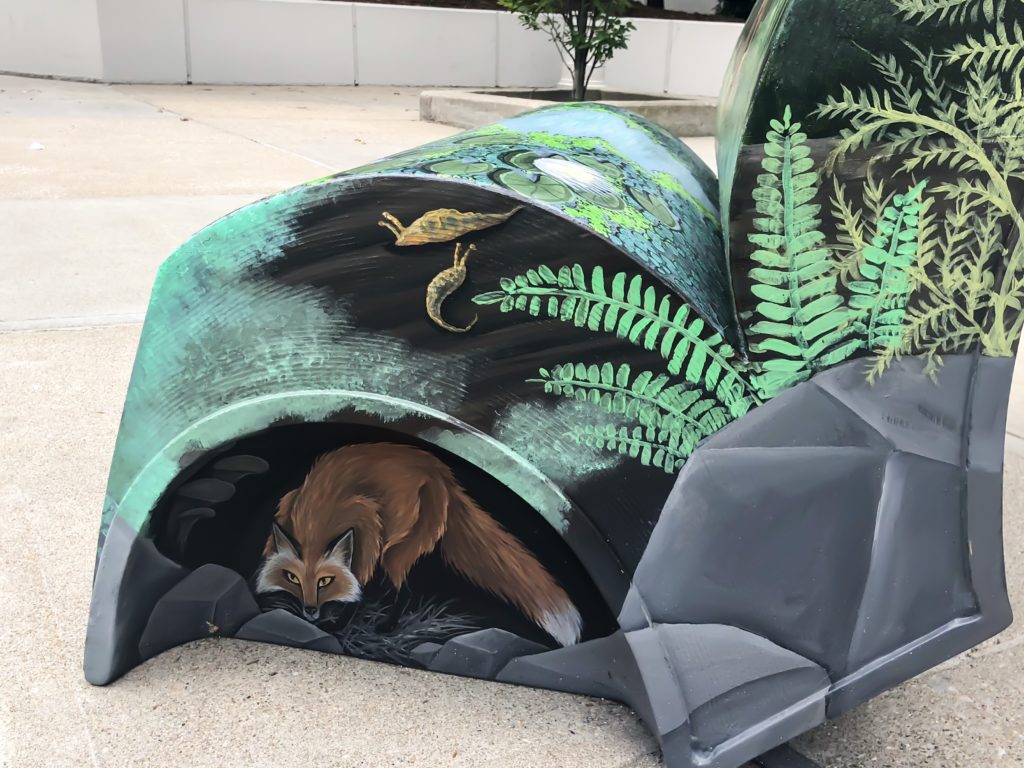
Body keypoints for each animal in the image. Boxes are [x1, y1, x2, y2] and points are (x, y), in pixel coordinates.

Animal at [253, 444, 585, 651]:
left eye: (325, 581)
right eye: (292, 578)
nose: (310, 611)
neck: (315, 528)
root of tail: (439, 469)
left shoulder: (367, 527)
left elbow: (358, 586)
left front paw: (339, 625)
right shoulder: (288, 502)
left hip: (397, 548)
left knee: (402, 589)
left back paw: (387, 627)